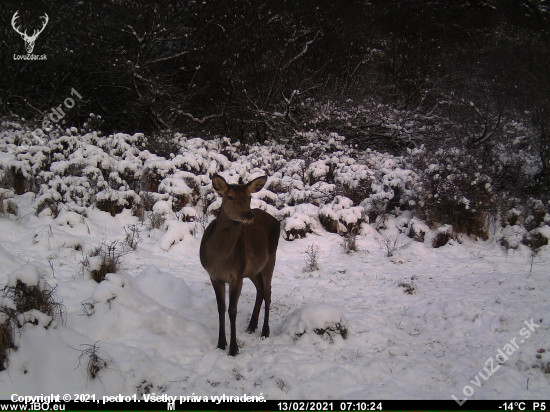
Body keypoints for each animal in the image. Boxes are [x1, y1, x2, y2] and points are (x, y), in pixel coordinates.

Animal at [201, 174, 280, 358]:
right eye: (230, 197)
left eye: (249, 197)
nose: (248, 214)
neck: (220, 258)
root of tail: (277, 221)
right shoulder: (214, 276)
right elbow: (221, 308)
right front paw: (221, 343)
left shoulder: (236, 275)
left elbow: (232, 310)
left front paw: (233, 348)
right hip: (251, 269)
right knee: (260, 289)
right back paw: (251, 325)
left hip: (270, 257)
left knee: (268, 291)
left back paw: (265, 330)